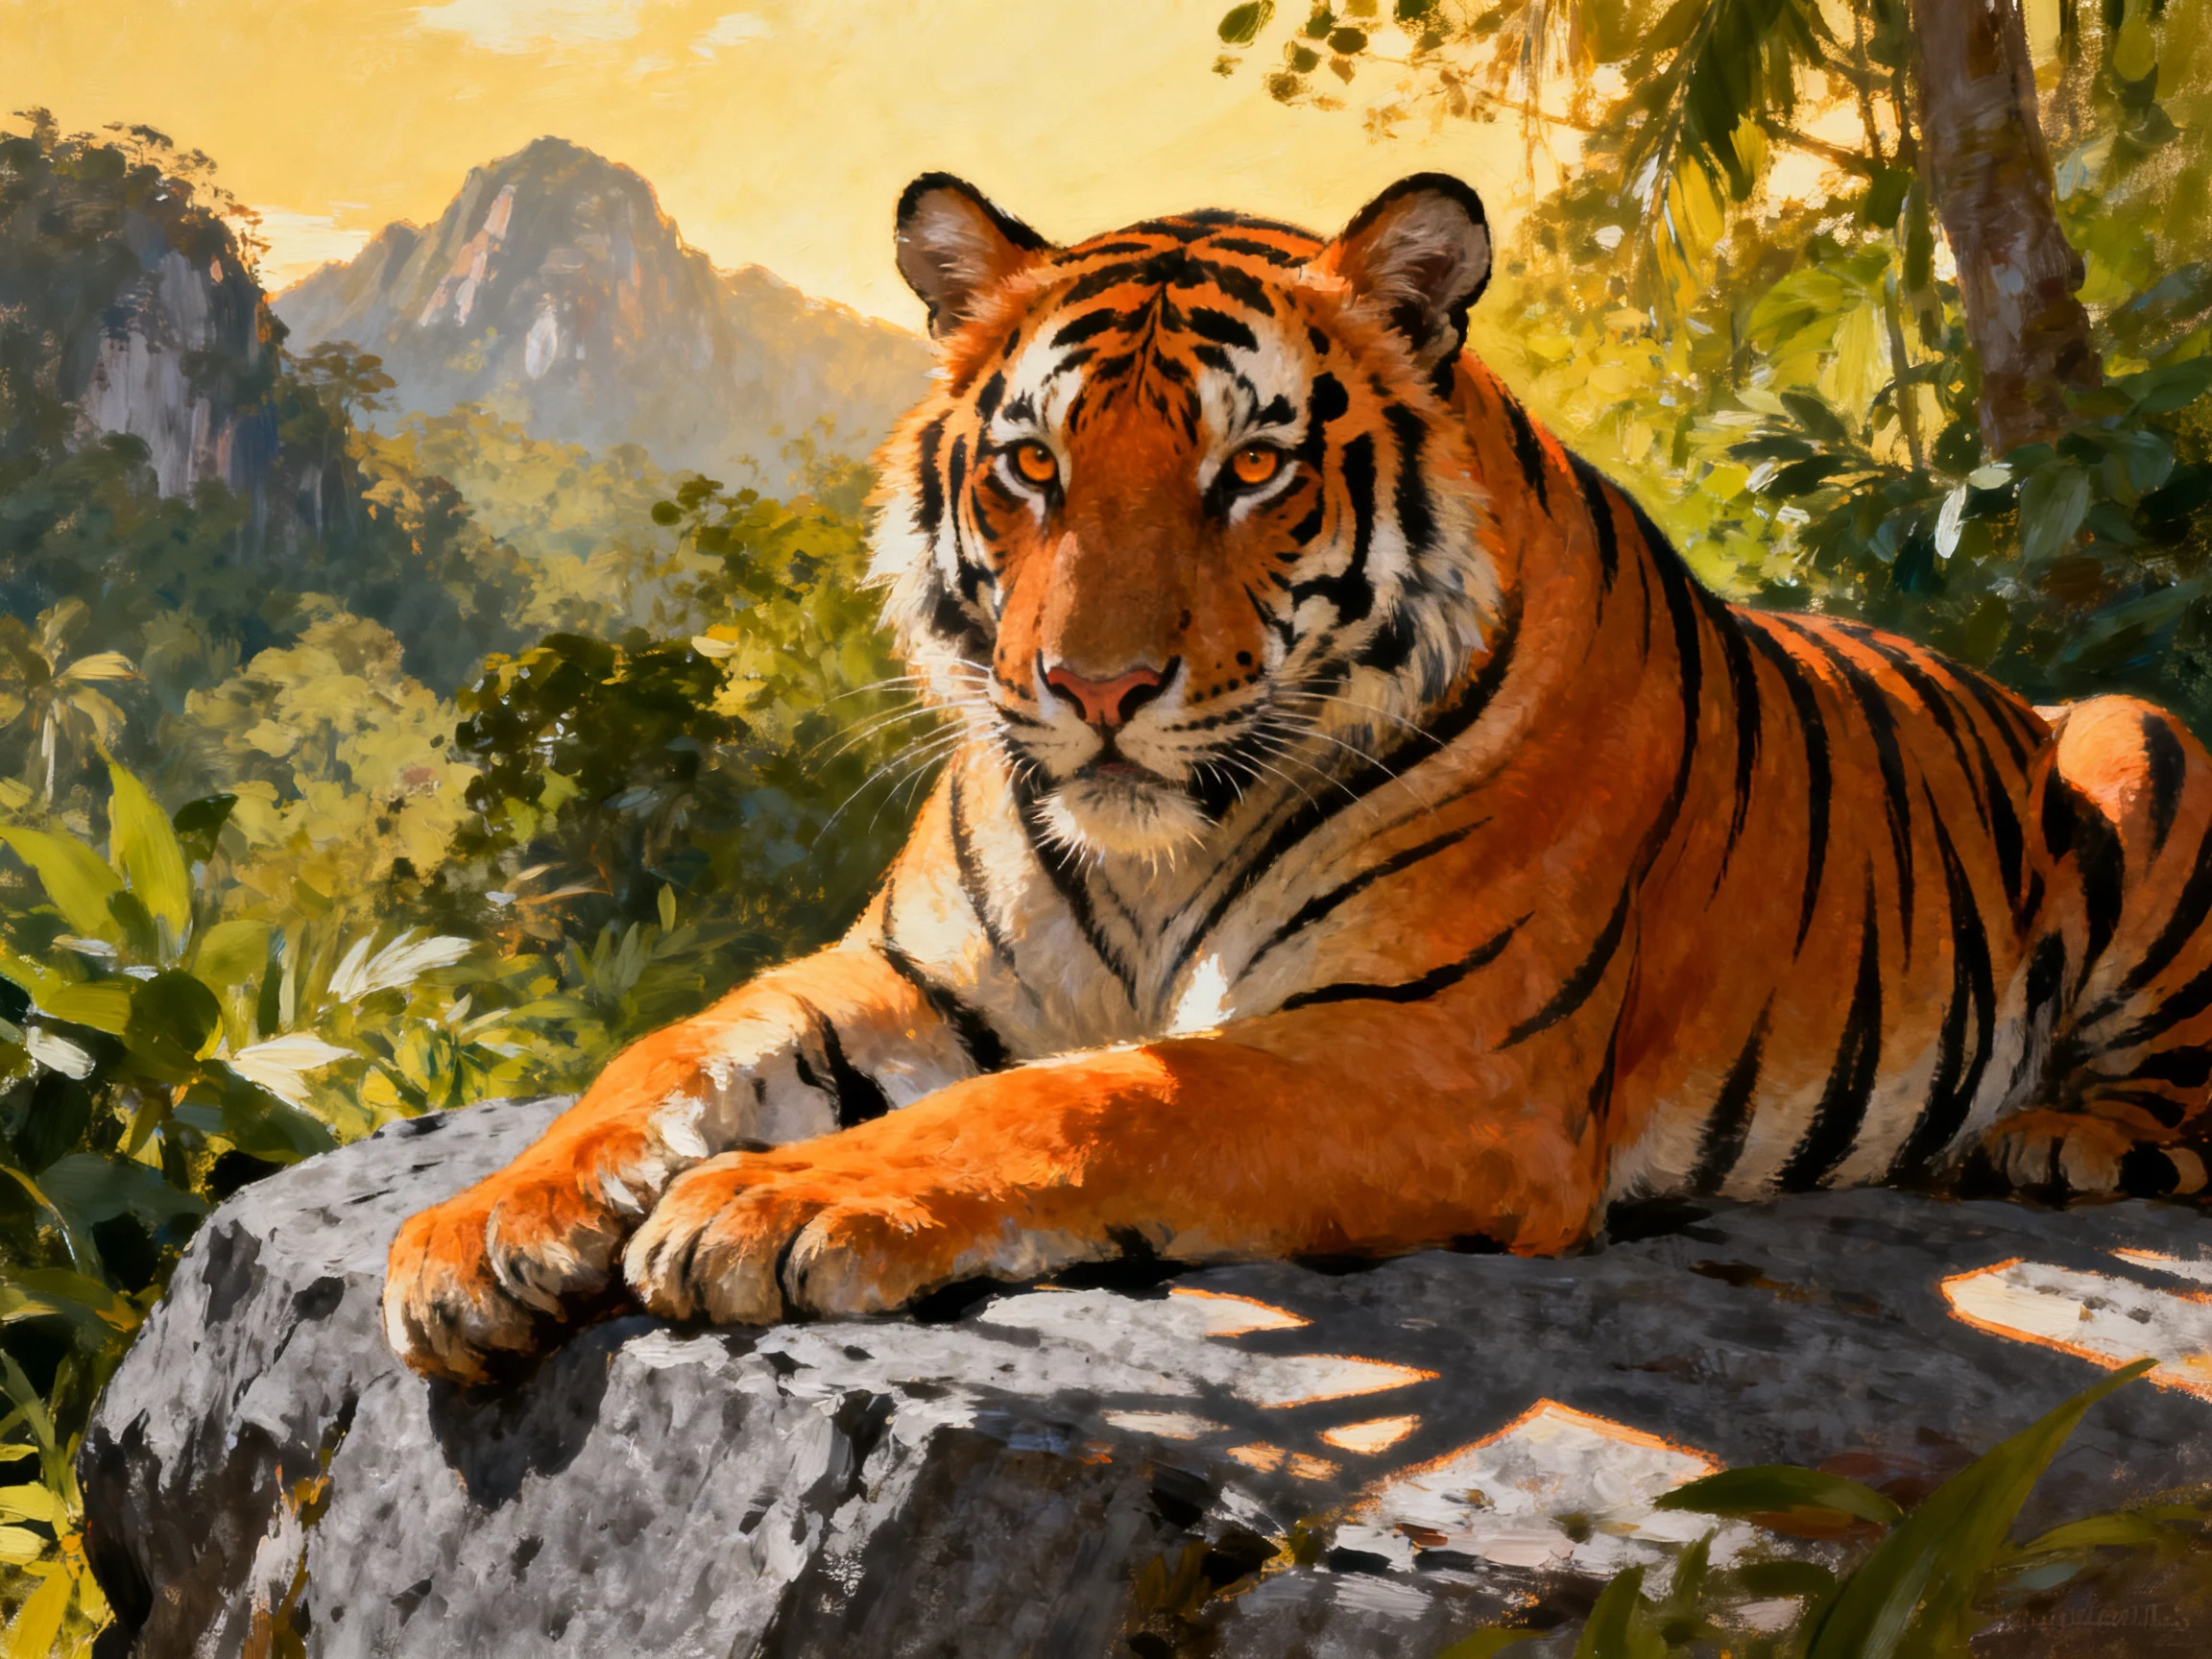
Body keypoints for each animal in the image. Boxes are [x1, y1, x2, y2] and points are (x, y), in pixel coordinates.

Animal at [385, 171, 2212, 1385]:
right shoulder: (912, 973)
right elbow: (672, 1050)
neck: (1151, 855)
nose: (1095, 689)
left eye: (1250, 468)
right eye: (1031, 465)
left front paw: (764, 1203)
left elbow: (1100, 1097)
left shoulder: (1435, 1053)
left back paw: (2044, 1140)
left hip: (2137, 734)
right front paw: (478, 1235)